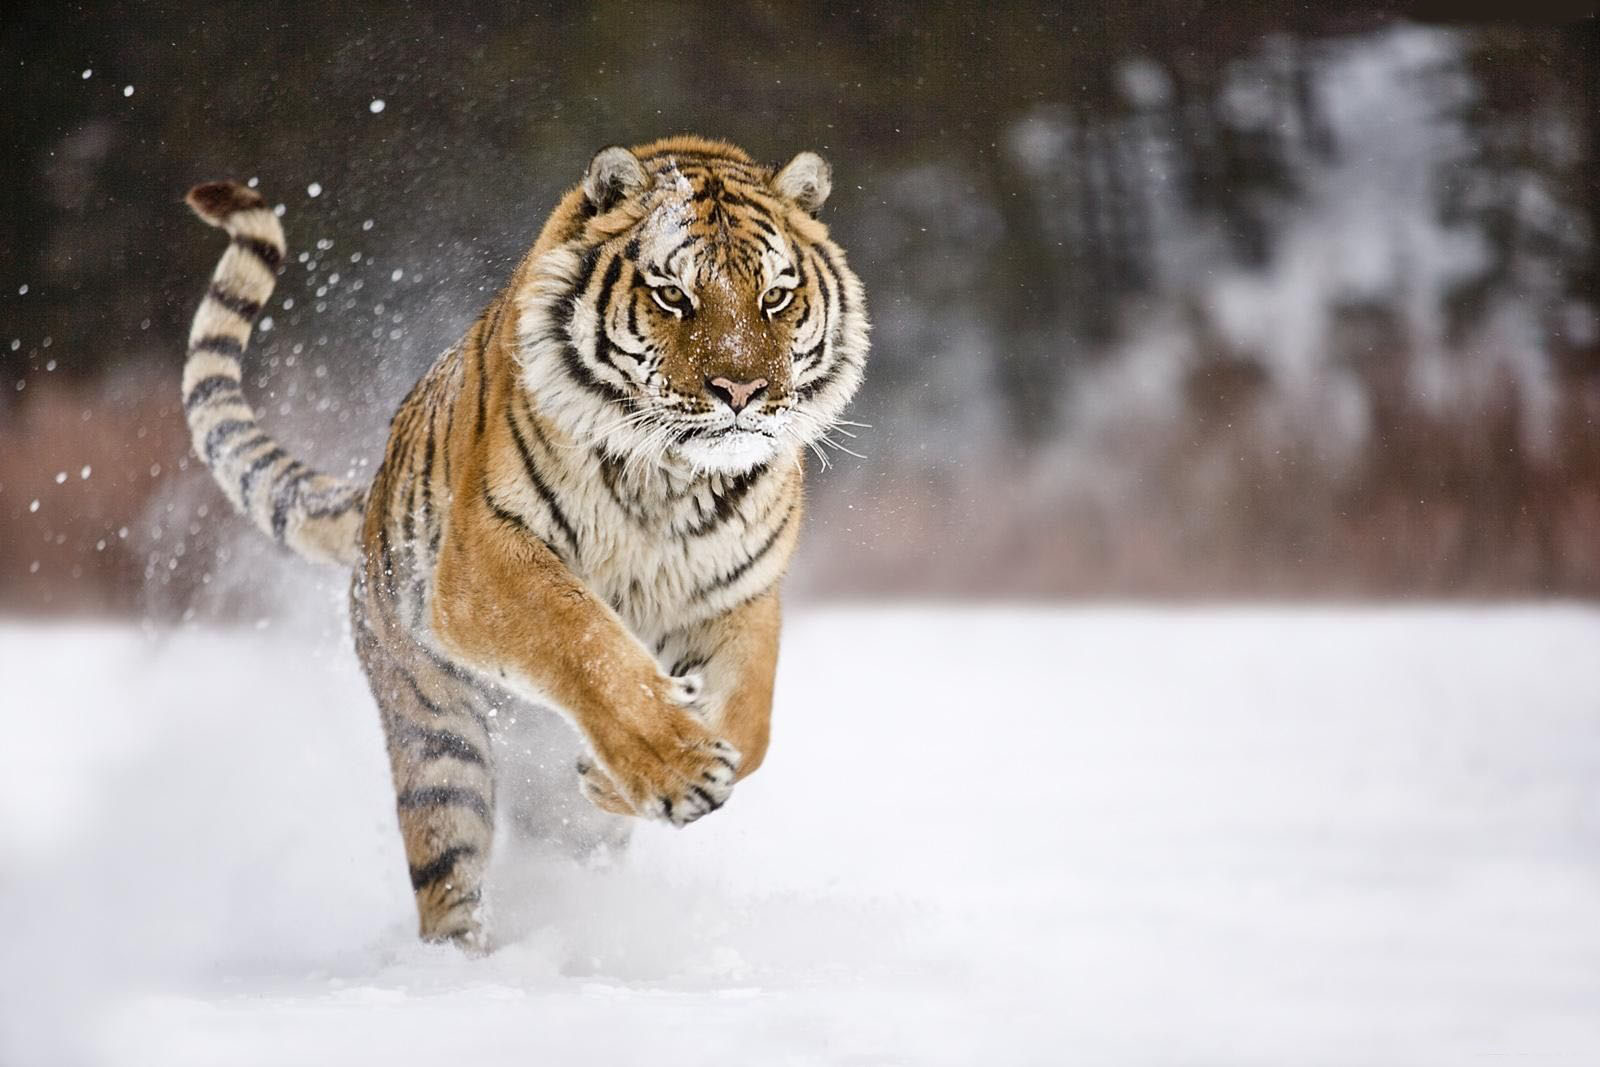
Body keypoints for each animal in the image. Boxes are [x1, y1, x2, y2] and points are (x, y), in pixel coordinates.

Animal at [181, 135, 870, 953]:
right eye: (673, 295)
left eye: (775, 298)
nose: (741, 391)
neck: (671, 478)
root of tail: (374, 489)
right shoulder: (487, 563)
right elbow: (586, 642)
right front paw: (676, 766)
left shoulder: (740, 595)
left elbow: (752, 720)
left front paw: (622, 774)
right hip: (437, 742)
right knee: (449, 872)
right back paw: (464, 965)